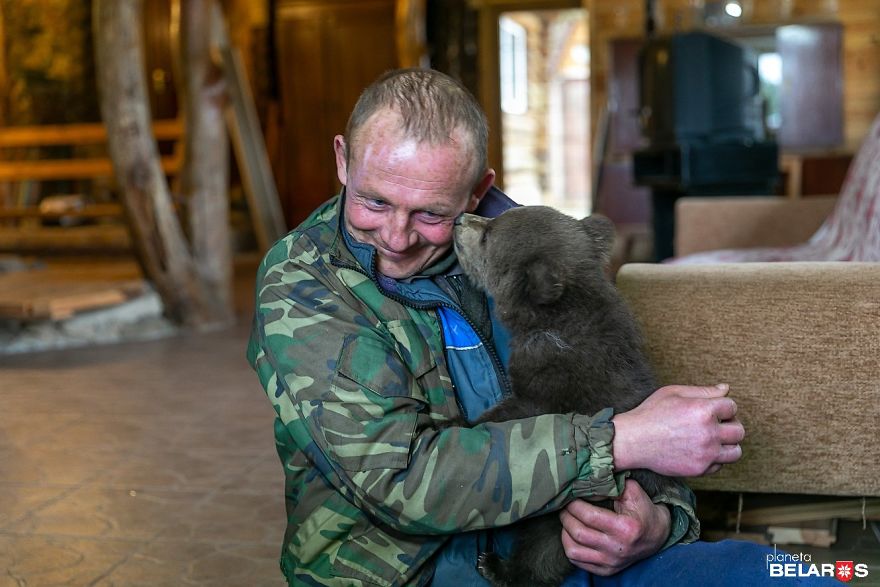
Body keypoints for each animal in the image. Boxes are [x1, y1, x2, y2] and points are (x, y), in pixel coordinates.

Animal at [452, 205, 677, 587]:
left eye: (489, 234)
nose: (459, 220)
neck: (553, 321)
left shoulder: (553, 384)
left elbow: (516, 417)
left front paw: (457, 421)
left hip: (572, 513)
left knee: (544, 551)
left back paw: (497, 567)